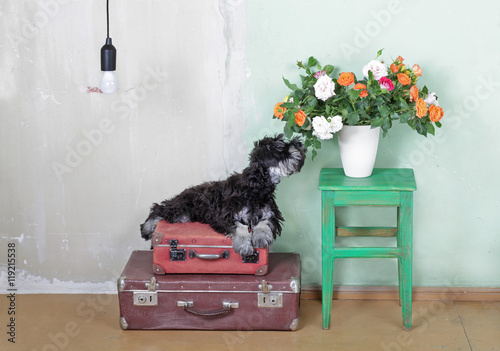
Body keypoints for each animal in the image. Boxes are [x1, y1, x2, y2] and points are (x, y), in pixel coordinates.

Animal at [139, 134, 306, 256]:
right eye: (280, 148)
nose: (300, 143)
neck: (255, 188)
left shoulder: (271, 214)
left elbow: (264, 221)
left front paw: (262, 237)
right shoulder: (223, 216)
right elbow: (240, 227)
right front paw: (244, 245)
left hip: (185, 215)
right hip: (181, 207)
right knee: (159, 208)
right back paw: (147, 228)